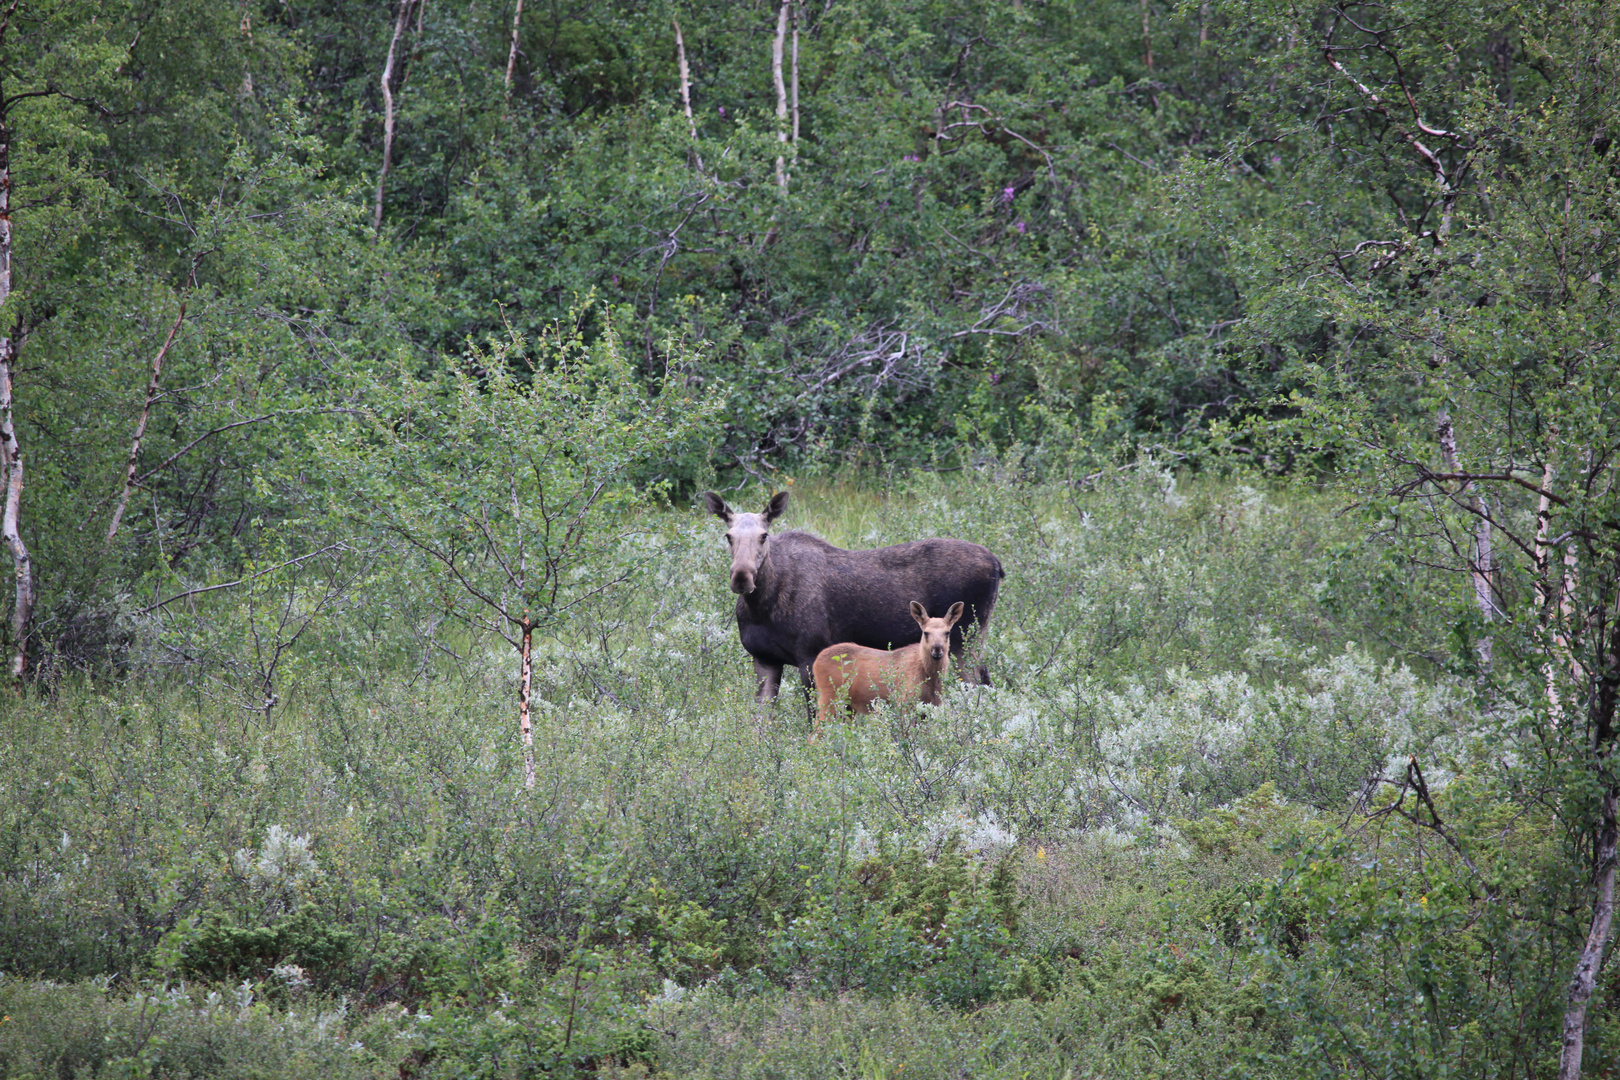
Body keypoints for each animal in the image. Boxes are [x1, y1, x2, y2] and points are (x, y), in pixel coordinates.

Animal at [706, 488, 1004, 709]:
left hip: (965, 639)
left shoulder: (810, 654)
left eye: (764, 535)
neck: (762, 608)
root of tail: (997, 564)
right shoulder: (764, 659)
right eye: (728, 536)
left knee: (977, 688)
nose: (742, 577)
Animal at [810, 605, 959, 738]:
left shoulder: (930, 707)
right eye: (926, 632)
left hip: (848, 707)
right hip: (829, 697)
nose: (937, 649)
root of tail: (815, 662)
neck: (929, 675)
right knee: (815, 734)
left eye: (947, 632)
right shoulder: (904, 702)